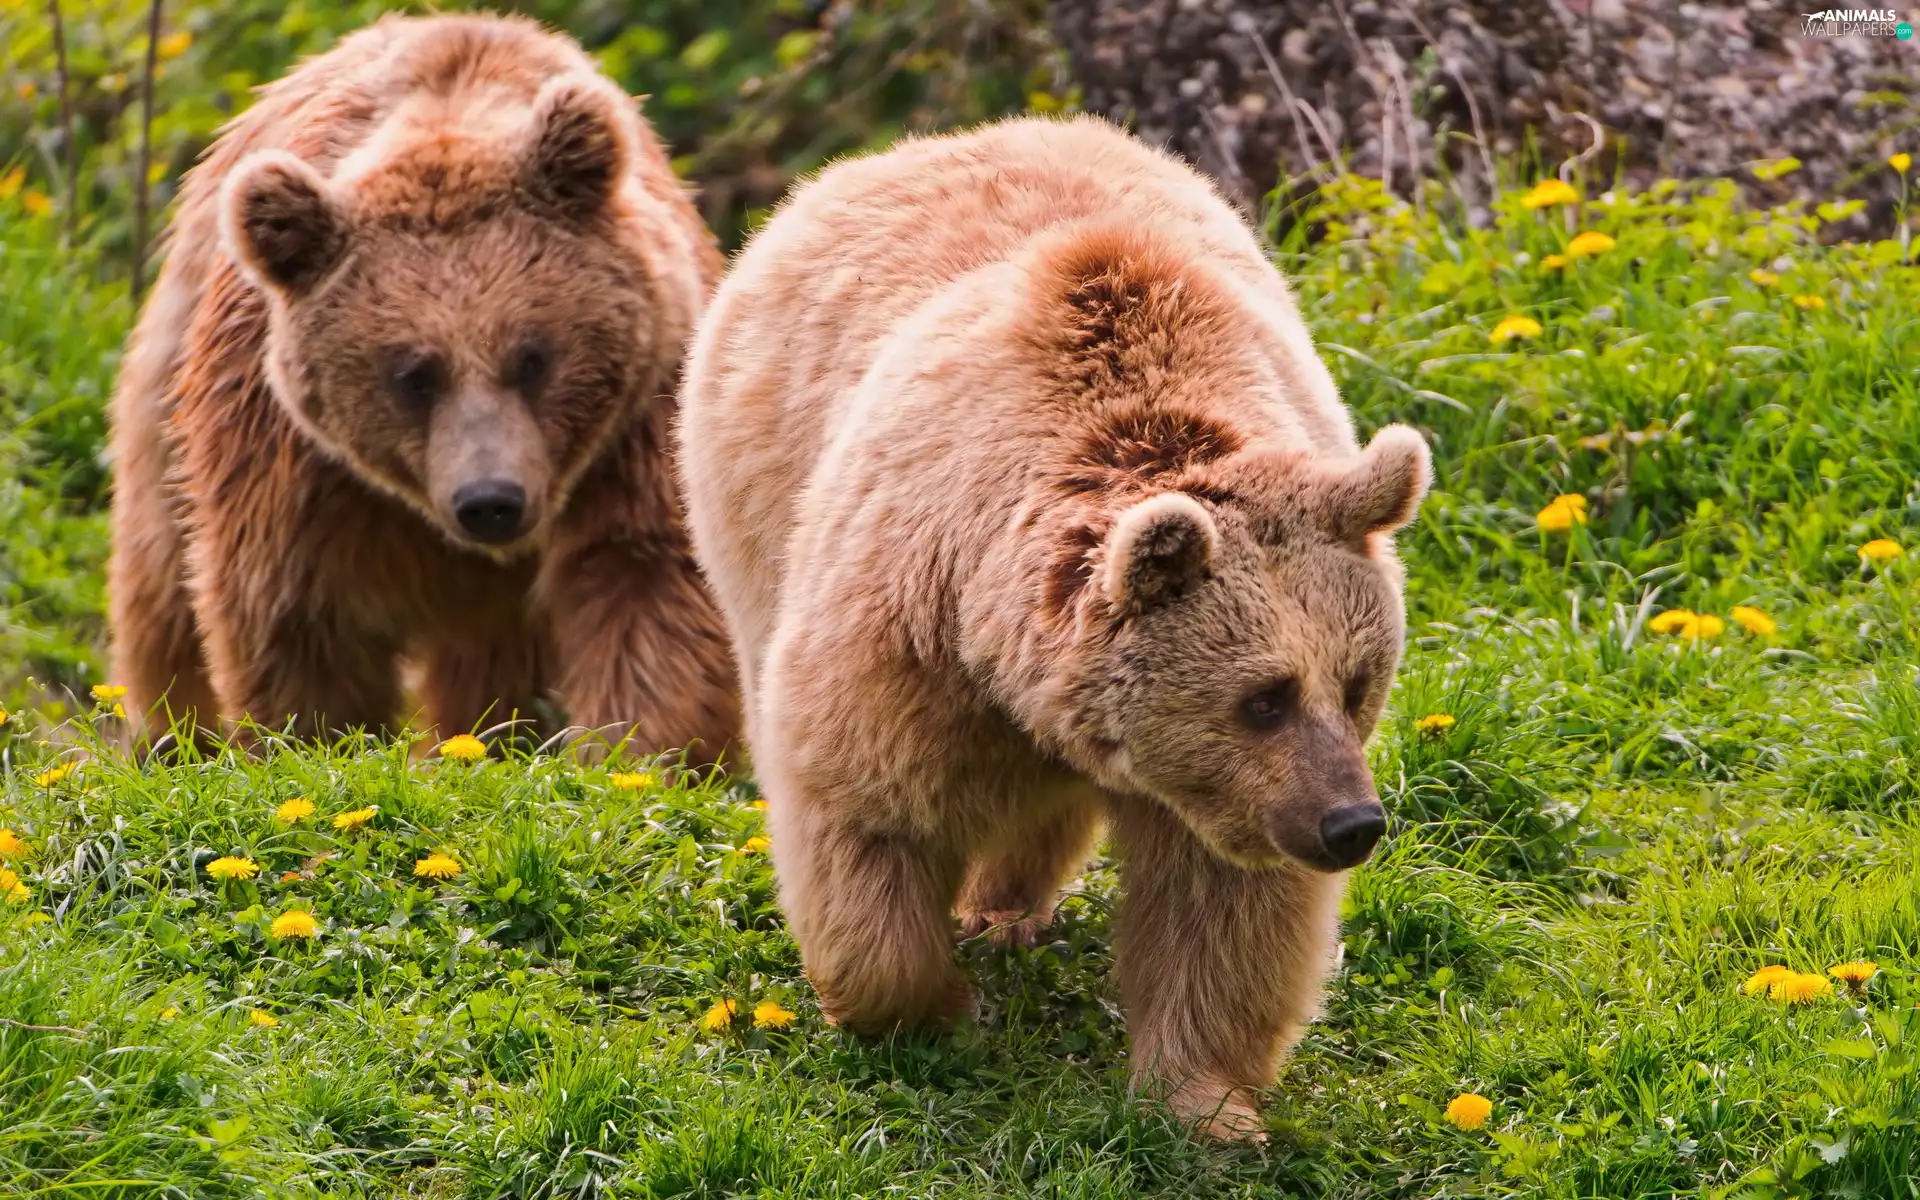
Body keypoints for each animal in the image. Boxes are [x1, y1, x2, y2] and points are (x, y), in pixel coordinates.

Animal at [106, 13, 739, 759]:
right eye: (413, 374)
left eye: (533, 357)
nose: (491, 501)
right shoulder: (296, 463)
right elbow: (299, 614)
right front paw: (320, 739)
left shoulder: (640, 422)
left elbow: (647, 583)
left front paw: (633, 754)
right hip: (168, 380)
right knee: (160, 578)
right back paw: (173, 735)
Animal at [676, 114, 1430, 1137]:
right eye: (1264, 697)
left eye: (1357, 684)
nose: (1351, 823)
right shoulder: (909, 628)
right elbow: (865, 807)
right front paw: (928, 1007)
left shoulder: (1222, 794)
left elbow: (1223, 910)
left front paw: (1207, 1102)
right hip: (753, 500)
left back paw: (1010, 904)